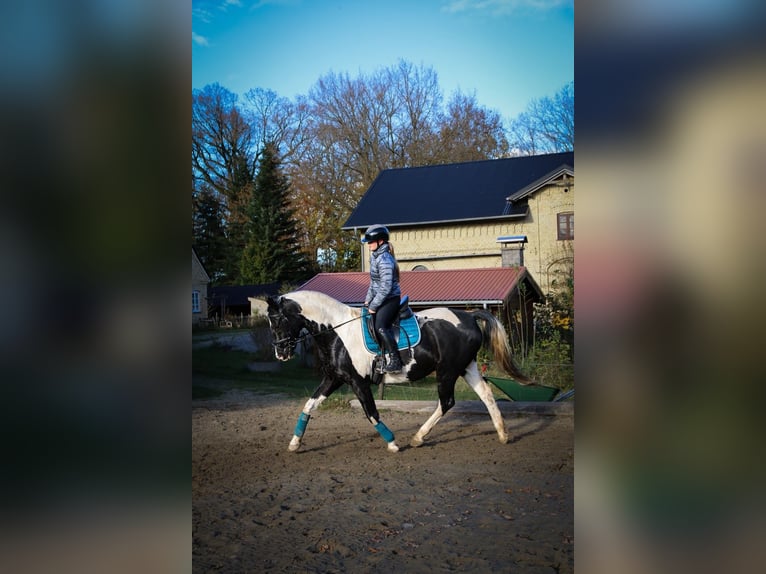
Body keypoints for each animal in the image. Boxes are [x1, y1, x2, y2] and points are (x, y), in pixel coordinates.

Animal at [266, 290, 532, 453]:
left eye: (277, 320)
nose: (280, 353)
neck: (338, 332)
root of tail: (468, 316)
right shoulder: (334, 378)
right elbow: (309, 406)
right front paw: (294, 443)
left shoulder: (358, 382)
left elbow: (371, 413)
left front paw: (393, 443)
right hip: (466, 368)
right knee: (486, 395)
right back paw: (503, 434)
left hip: (447, 371)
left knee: (446, 402)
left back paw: (418, 438)